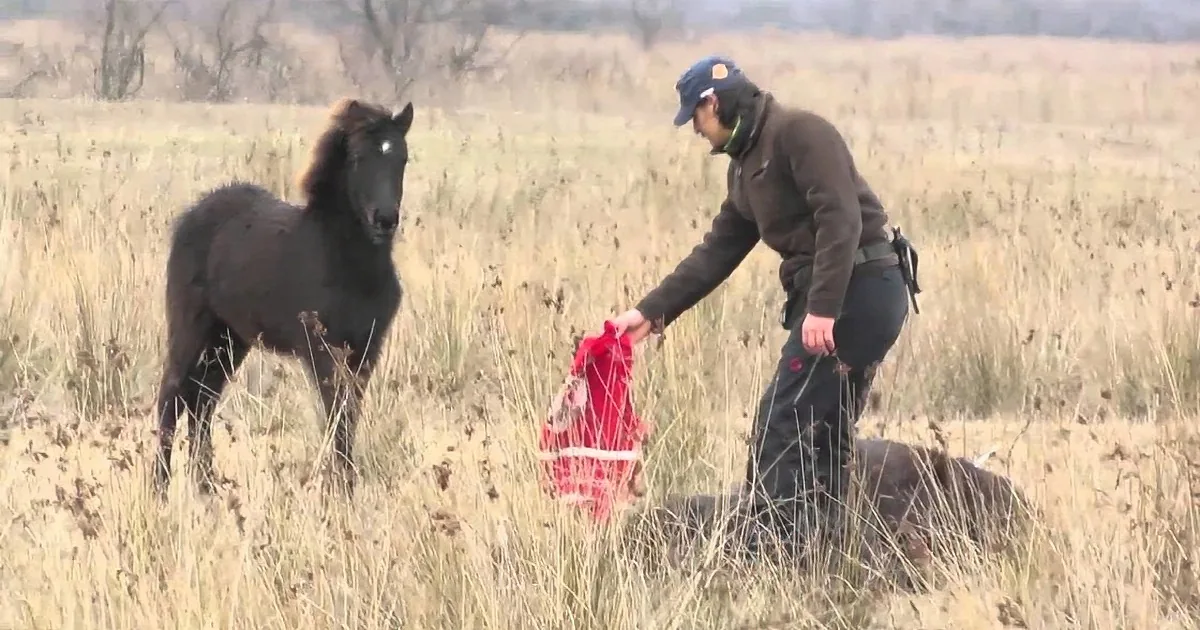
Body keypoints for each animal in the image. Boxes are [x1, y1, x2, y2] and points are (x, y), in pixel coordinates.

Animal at [151, 97, 415, 500]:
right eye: (357, 157)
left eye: (402, 157)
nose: (384, 219)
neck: (346, 263)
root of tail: (191, 215)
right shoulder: (322, 350)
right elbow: (336, 415)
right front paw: (338, 492)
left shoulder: (367, 349)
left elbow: (349, 415)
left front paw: (345, 487)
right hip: (191, 329)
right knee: (172, 395)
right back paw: (160, 488)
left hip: (229, 340)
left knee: (202, 401)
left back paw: (206, 487)